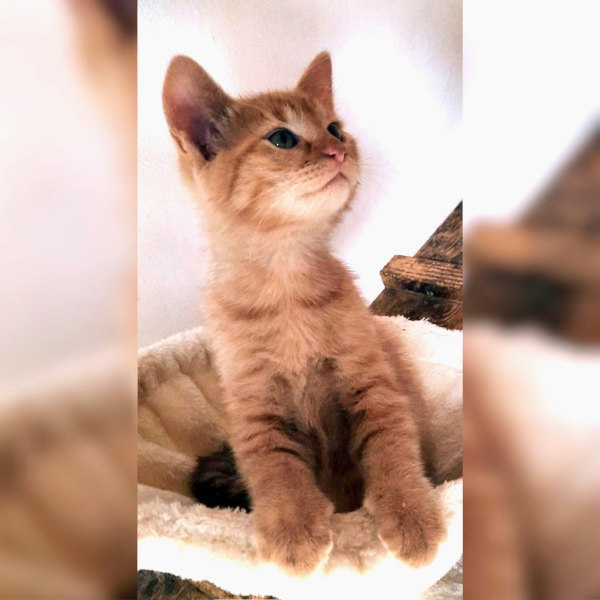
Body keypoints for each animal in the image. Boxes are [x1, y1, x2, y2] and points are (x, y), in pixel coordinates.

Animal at [162, 51, 446, 575]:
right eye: (282, 138)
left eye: (335, 128)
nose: (338, 152)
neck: (287, 288)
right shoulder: (255, 406)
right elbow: (275, 467)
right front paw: (293, 528)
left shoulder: (371, 380)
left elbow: (391, 442)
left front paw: (410, 512)